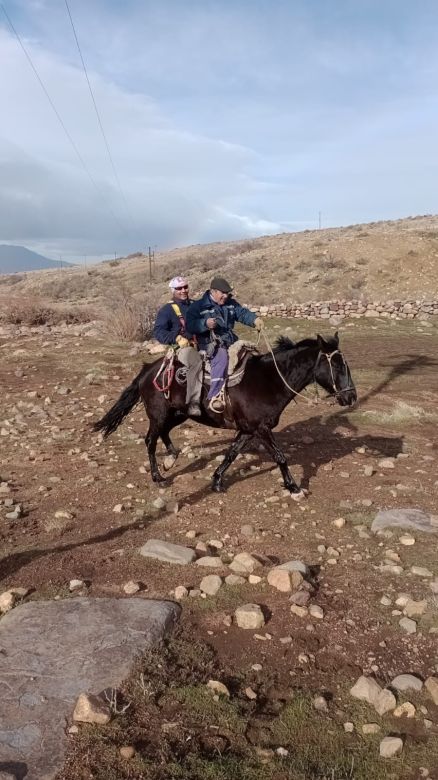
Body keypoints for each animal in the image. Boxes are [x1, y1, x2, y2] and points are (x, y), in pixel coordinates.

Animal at [95, 332, 356, 496]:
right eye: (336, 365)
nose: (351, 397)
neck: (269, 381)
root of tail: (148, 369)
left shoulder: (247, 430)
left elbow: (231, 454)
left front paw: (217, 480)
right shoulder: (261, 429)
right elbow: (280, 457)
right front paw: (293, 486)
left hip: (178, 414)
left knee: (164, 434)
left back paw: (171, 458)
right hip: (158, 414)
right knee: (150, 440)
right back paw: (158, 477)